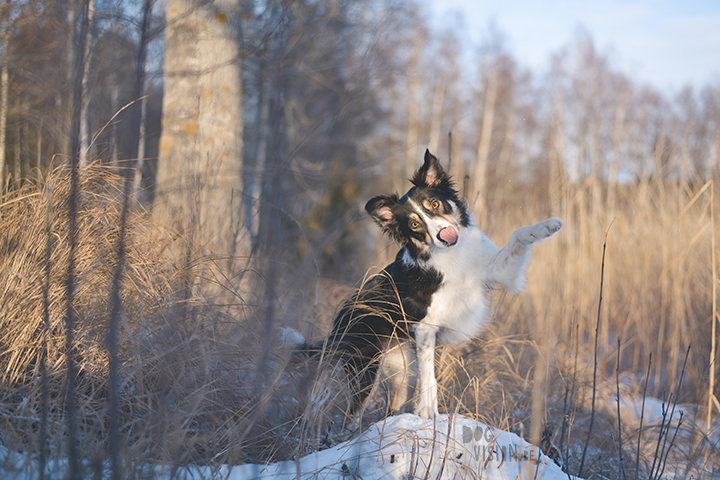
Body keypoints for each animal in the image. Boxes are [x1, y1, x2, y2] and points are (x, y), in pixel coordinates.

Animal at [316, 150, 564, 420]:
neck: (451, 256)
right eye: (414, 224)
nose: (443, 234)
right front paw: (427, 411)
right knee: (350, 417)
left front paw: (546, 226)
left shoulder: (499, 271)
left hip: (402, 367)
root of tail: (339, 319)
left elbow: (519, 234)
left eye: (434, 204)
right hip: (366, 369)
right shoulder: (425, 328)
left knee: (395, 404)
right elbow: (429, 376)